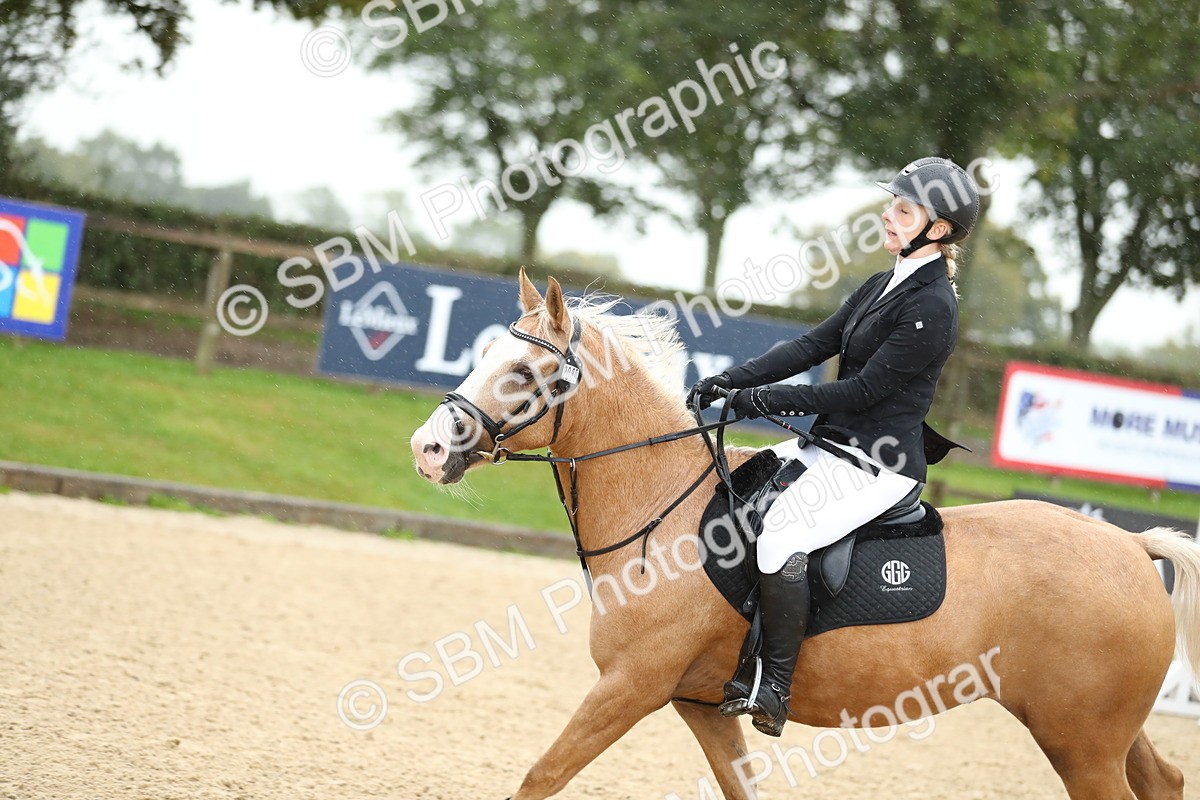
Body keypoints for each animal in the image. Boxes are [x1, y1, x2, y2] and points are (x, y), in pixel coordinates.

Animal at [410, 269, 1200, 800]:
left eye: (522, 371)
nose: (428, 447)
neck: (663, 511)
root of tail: (1131, 546)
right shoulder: (699, 705)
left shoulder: (630, 687)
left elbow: (539, 777)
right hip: (1096, 731)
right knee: (1162, 779)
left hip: (1080, 742)